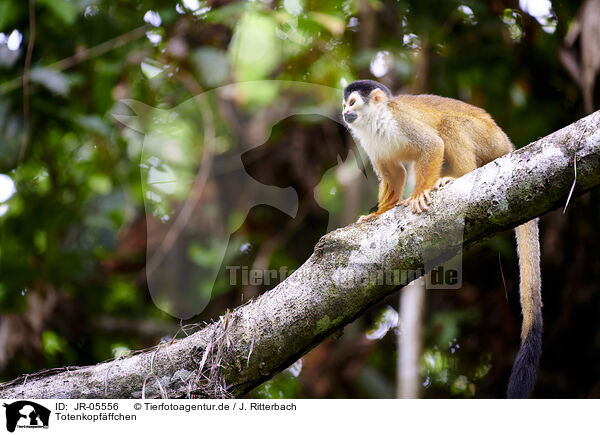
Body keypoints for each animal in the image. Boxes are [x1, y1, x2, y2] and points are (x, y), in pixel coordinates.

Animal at [342, 80, 544, 400]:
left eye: (351, 102)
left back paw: (458, 176)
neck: (375, 122)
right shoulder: (370, 144)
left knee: (449, 125)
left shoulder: (401, 120)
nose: (344, 112)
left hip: (489, 141)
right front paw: (379, 213)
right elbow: (393, 173)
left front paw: (419, 194)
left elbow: (432, 145)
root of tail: (509, 144)